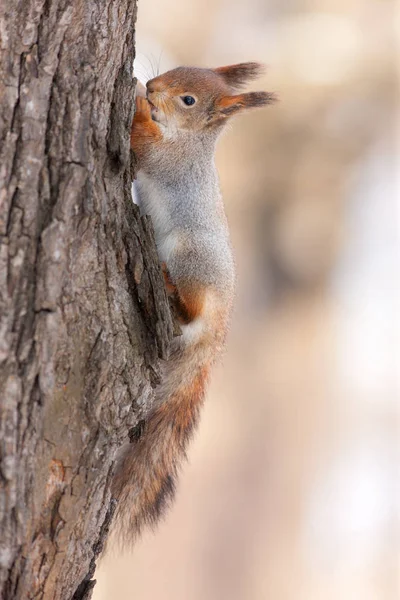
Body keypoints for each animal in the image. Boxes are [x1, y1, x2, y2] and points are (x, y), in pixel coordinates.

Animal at [112, 63, 276, 540]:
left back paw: (171, 289)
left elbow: (144, 142)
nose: (152, 87)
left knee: (189, 308)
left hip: (190, 261)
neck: (191, 141)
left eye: (188, 100)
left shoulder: (168, 159)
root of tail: (216, 333)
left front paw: (134, 99)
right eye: (173, 71)